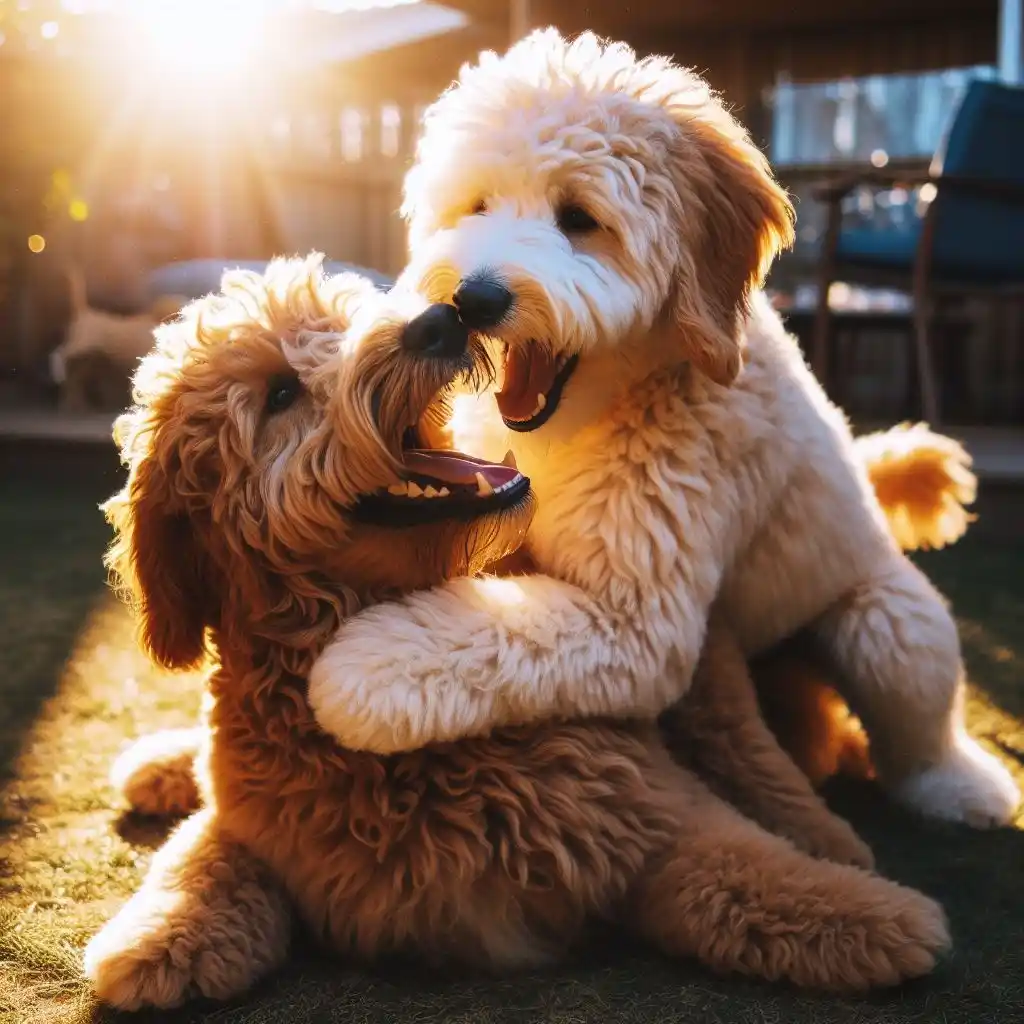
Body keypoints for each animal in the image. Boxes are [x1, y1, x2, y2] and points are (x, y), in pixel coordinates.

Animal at [81, 256, 950, 1007]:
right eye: (281, 393)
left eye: (350, 317)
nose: (440, 320)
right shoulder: (265, 828)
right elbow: (203, 855)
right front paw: (159, 937)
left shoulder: (650, 814)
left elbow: (750, 871)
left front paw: (882, 914)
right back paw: (162, 766)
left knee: (756, 752)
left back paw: (828, 834)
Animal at [305, 29, 1015, 831]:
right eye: (475, 205)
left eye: (579, 217)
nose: (472, 299)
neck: (602, 409)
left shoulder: (637, 618)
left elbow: (492, 632)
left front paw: (362, 669)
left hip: (893, 626)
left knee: (921, 730)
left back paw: (968, 788)